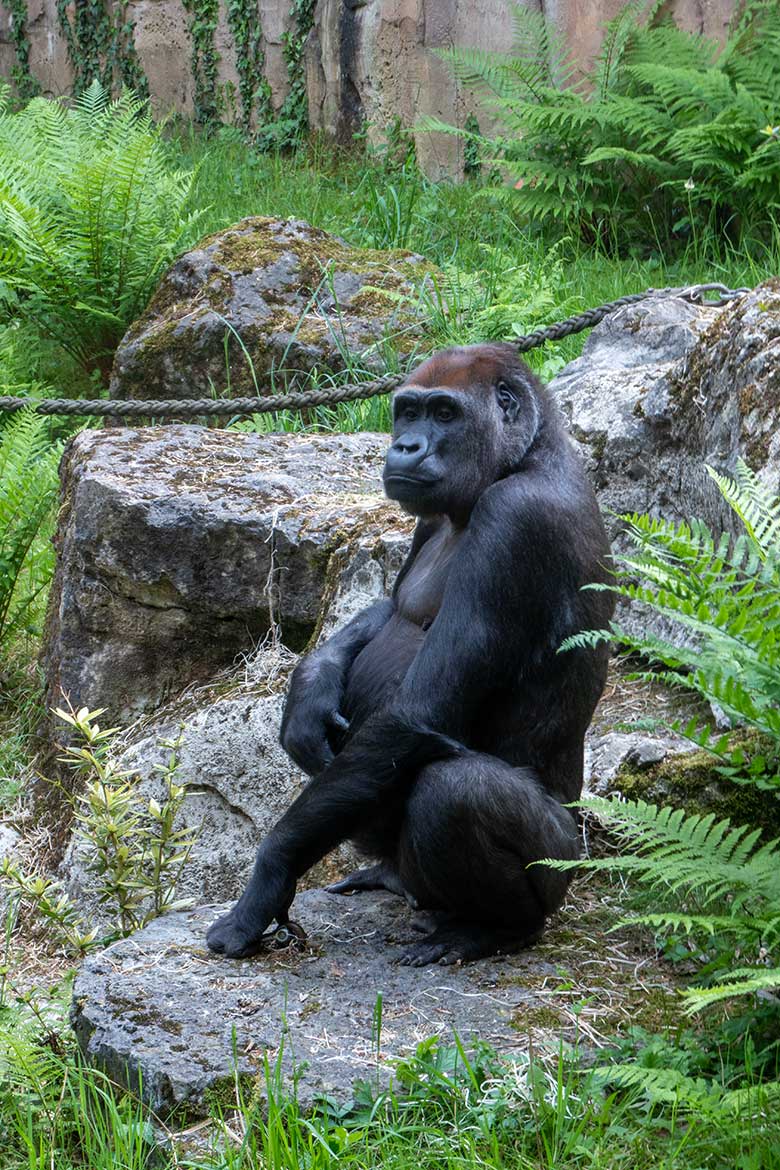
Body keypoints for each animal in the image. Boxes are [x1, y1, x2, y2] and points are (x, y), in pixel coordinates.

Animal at [206, 341, 617, 964]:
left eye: (445, 414)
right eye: (408, 412)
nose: (404, 446)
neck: (528, 455)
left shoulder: (516, 520)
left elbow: (416, 716)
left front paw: (268, 879)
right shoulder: (428, 513)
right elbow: (385, 610)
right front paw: (308, 694)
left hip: (561, 871)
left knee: (452, 792)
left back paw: (498, 928)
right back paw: (391, 876)